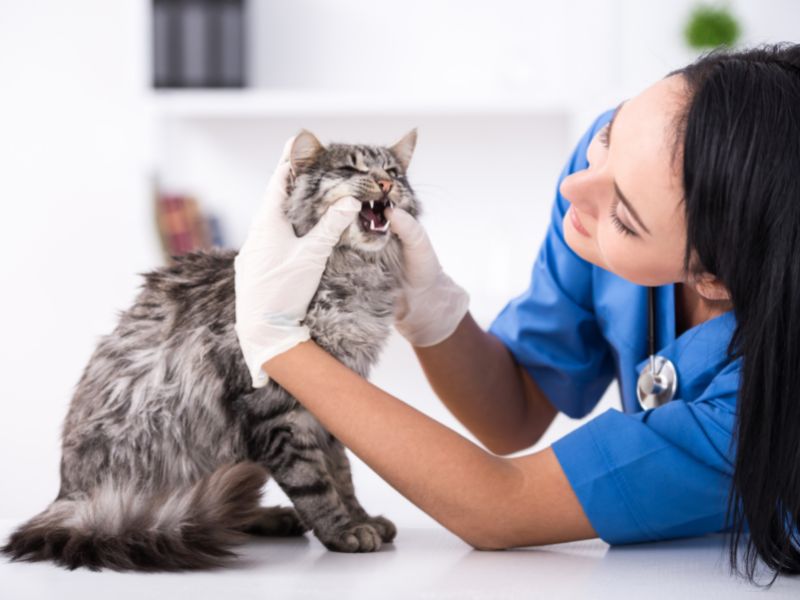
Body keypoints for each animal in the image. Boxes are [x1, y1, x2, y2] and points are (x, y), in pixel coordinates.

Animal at [1, 130, 418, 572]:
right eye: (351, 169)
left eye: (393, 172)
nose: (385, 184)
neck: (353, 279)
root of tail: (69, 503)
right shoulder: (276, 410)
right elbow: (314, 483)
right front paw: (342, 530)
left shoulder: (331, 402)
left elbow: (342, 473)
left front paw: (361, 518)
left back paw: (267, 516)